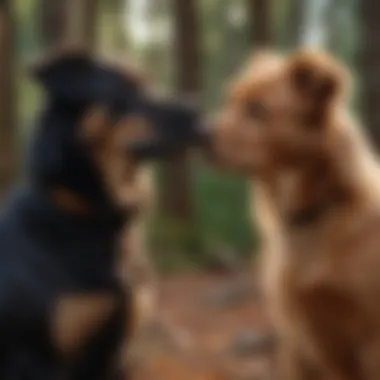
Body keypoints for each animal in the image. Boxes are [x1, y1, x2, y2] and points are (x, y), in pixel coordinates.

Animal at [206, 49, 380, 378]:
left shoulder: (367, 336)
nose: (198, 135)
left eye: (257, 110)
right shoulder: (310, 336)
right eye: (231, 101)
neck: (314, 217)